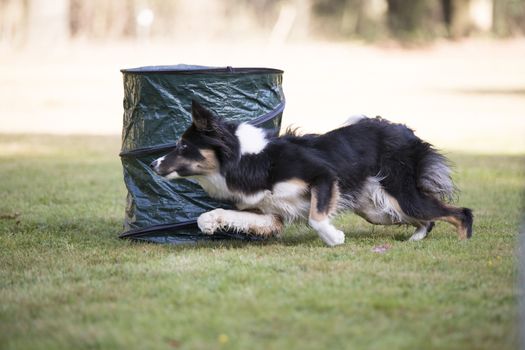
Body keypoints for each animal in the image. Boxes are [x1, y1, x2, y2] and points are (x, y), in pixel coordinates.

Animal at [149, 101, 472, 246]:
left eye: (182, 146)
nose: (153, 164)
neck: (251, 159)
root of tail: (405, 131)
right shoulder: (269, 212)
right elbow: (224, 215)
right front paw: (209, 222)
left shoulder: (323, 176)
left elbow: (316, 217)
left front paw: (334, 237)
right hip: (377, 209)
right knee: (429, 218)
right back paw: (416, 239)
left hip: (399, 195)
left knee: (461, 212)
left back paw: (462, 243)